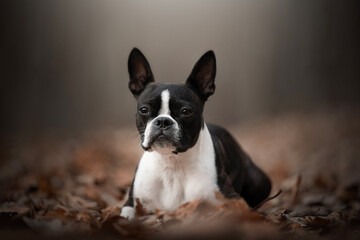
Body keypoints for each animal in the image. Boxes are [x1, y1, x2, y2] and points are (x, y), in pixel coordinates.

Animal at [119, 48, 272, 219]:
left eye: (186, 111)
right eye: (144, 110)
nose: (163, 121)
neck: (172, 163)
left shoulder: (231, 199)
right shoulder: (132, 202)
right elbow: (125, 216)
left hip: (258, 181)